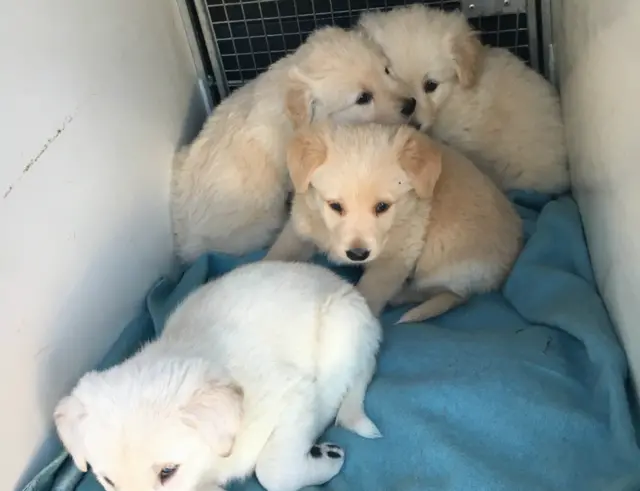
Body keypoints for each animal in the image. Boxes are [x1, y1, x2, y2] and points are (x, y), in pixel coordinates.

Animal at [53, 264, 380, 491]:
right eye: (107, 480)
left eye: (168, 471)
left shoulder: (291, 394)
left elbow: (273, 472)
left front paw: (327, 459)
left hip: (342, 327)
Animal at [264, 123, 520, 322]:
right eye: (335, 206)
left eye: (382, 207)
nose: (358, 254)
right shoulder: (301, 225)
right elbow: (279, 253)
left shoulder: (396, 257)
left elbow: (370, 292)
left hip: (442, 263)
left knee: (449, 292)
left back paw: (402, 297)